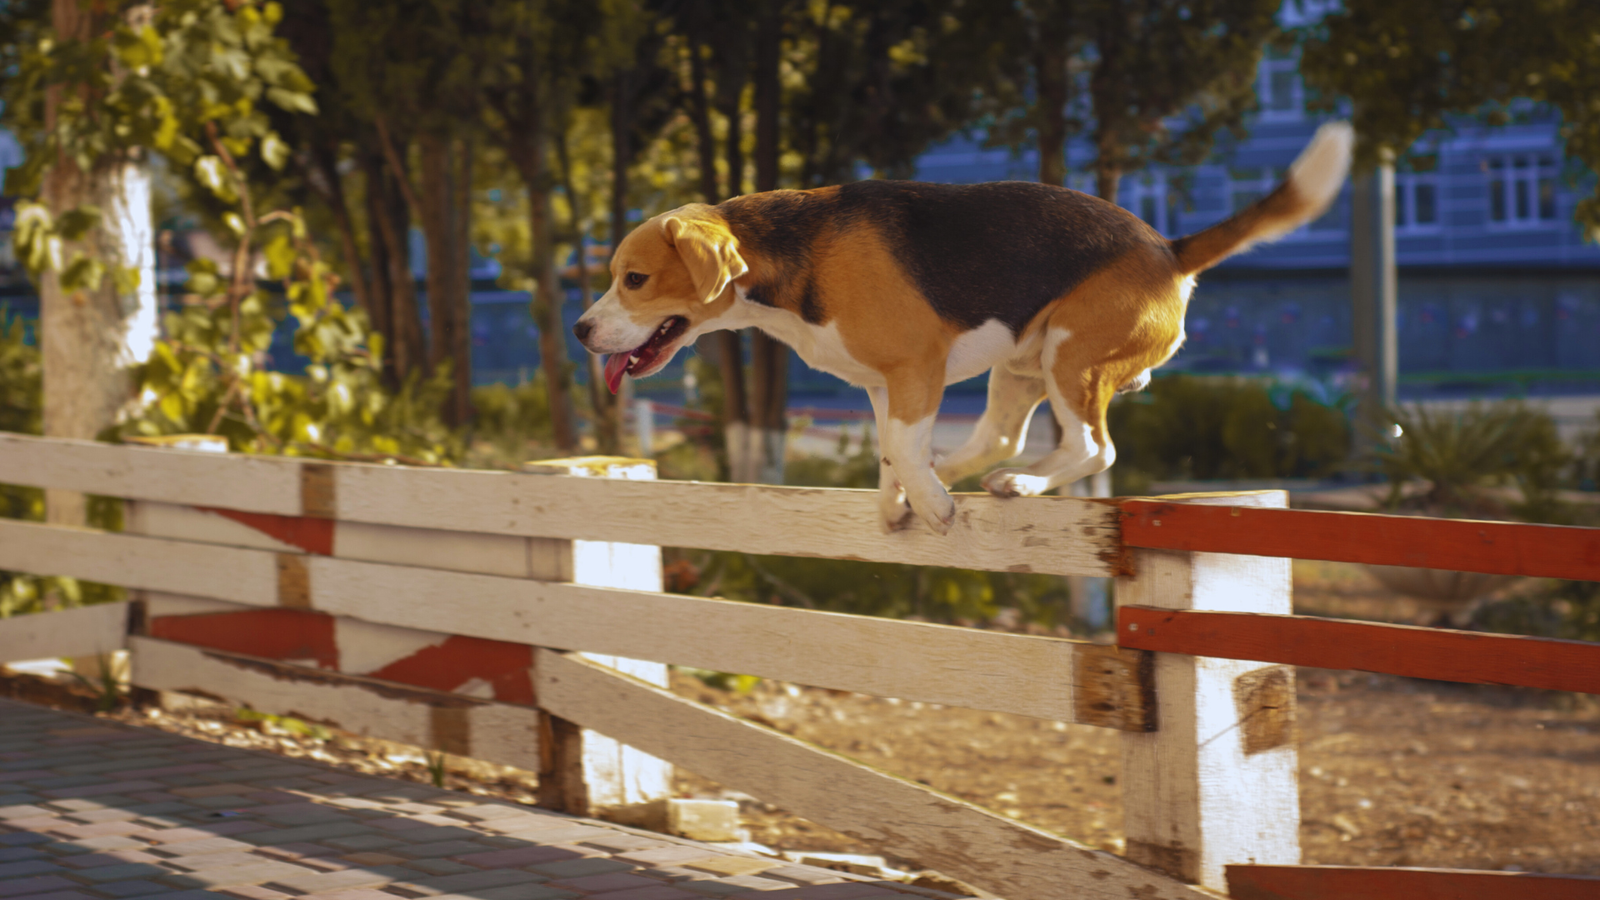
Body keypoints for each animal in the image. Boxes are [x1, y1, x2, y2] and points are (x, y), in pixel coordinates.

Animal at [576, 118, 1350, 525]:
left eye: (634, 279)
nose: (581, 331)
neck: (791, 253)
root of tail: (1167, 247)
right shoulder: (882, 385)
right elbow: (893, 445)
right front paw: (900, 497)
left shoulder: (917, 367)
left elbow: (903, 445)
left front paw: (928, 503)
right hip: (1021, 362)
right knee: (1004, 434)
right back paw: (970, 470)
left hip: (1074, 356)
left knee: (1095, 449)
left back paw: (1022, 484)